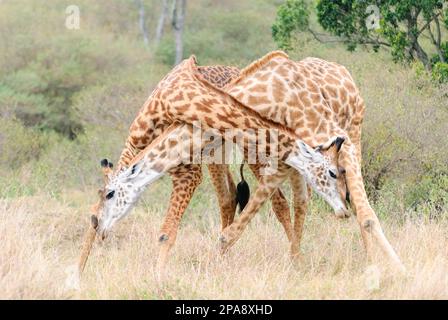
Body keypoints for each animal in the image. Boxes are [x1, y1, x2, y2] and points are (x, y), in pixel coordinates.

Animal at [221, 50, 406, 270]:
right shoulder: (285, 158)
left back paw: (370, 258)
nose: (342, 210)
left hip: (355, 134)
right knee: (304, 201)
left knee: (354, 205)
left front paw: (397, 267)